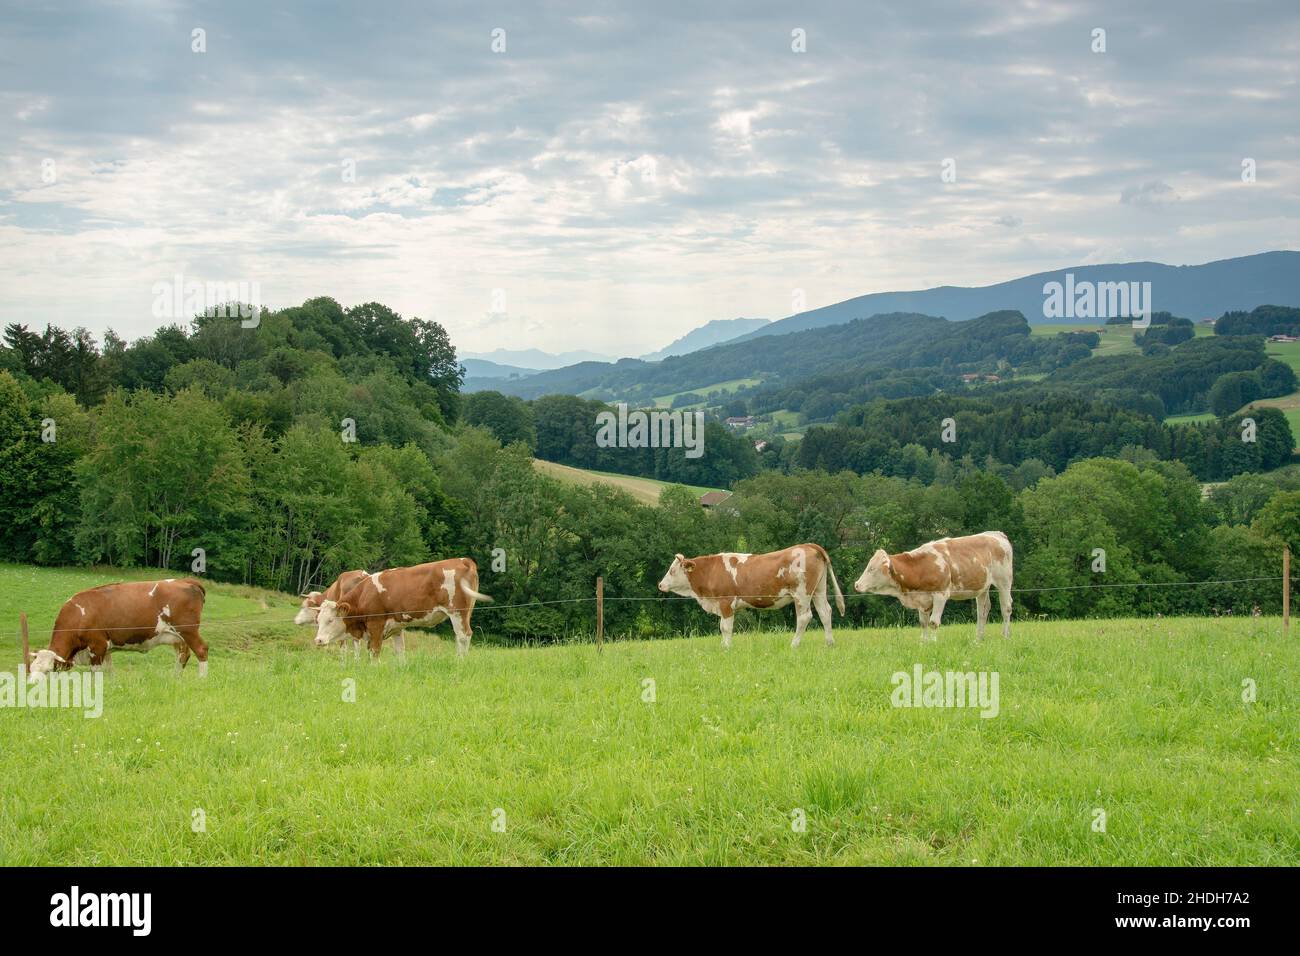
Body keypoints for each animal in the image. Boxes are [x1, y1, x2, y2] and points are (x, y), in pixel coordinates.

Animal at [27, 574, 209, 681]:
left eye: (47, 671)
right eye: (31, 669)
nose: (31, 685)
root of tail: (185, 580)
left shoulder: (97, 646)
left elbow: (95, 672)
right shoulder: (105, 648)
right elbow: (109, 670)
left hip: (188, 630)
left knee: (201, 649)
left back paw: (201, 679)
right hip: (177, 637)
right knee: (183, 654)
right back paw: (176, 678)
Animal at [312, 556, 488, 660]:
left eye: (330, 620)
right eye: (318, 620)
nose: (318, 640)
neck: (365, 594)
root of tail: (463, 560)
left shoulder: (376, 625)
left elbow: (374, 651)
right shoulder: (397, 627)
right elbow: (400, 651)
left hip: (458, 612)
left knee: (463, 636)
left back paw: (460, 661)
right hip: (466, 612)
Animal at [655, 546, 847, 650]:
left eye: (672, 570)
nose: (660, 585)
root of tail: (809, 545)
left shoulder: (726, 602)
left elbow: (725, 627)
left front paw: (726, 647)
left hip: (801, 594)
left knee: (804, 617)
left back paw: (794, 644)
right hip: (818, 590)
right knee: (825, 612)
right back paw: (829, 643)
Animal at [852, 530, 1013, 642]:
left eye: (871, 569)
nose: (857, 584)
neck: (920, 567)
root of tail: (996, 534)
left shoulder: (940, 595)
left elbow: (933, 622)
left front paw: (933, 643)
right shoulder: (922, 600)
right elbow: (923, 623)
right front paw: (924, 643)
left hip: (1004, 582)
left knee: (1006, 608)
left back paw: (1005, 636)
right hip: (982, 588)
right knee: (982, 611)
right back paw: (978, 639)